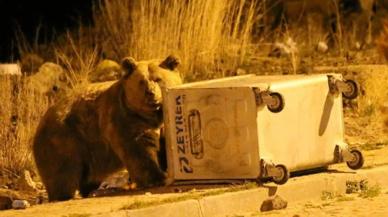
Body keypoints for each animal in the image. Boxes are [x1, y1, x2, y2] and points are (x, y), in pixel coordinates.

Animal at [33, 55, 182, 201]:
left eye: (158, 79)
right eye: (141, 82)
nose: (150, 93)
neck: (153, 114)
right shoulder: (126, 119)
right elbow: (139, 149)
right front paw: (157, 178)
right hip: (65, 139)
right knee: (63, 172)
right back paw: (63, 195)